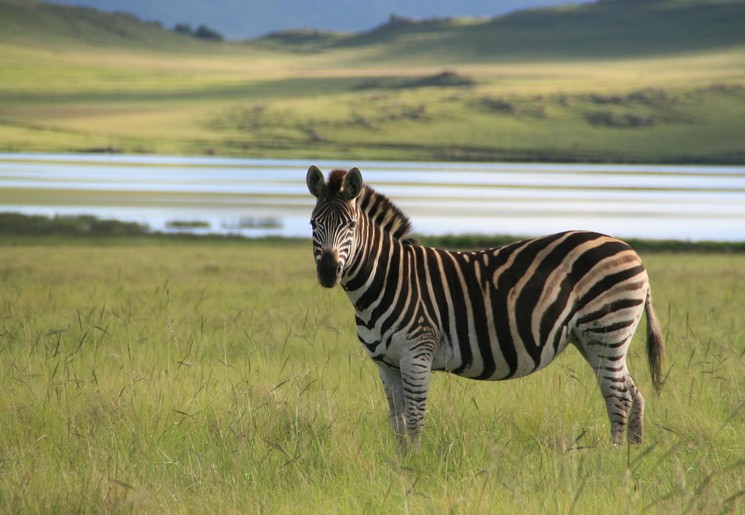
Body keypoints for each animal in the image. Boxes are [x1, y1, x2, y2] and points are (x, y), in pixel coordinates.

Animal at [306, 165, 665, 449]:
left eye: (351, 226)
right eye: (312, 224)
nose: (327, 272)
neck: (386, 279)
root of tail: (631, 251)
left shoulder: (417, 354)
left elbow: (416, 418)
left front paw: (413, 466)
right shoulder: (386, 364)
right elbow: (398, 423)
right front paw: (398, 465)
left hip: (606, 330)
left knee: (618, 397)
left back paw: (613, 457)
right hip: (594, 340)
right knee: (632, 393)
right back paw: (632, 455)